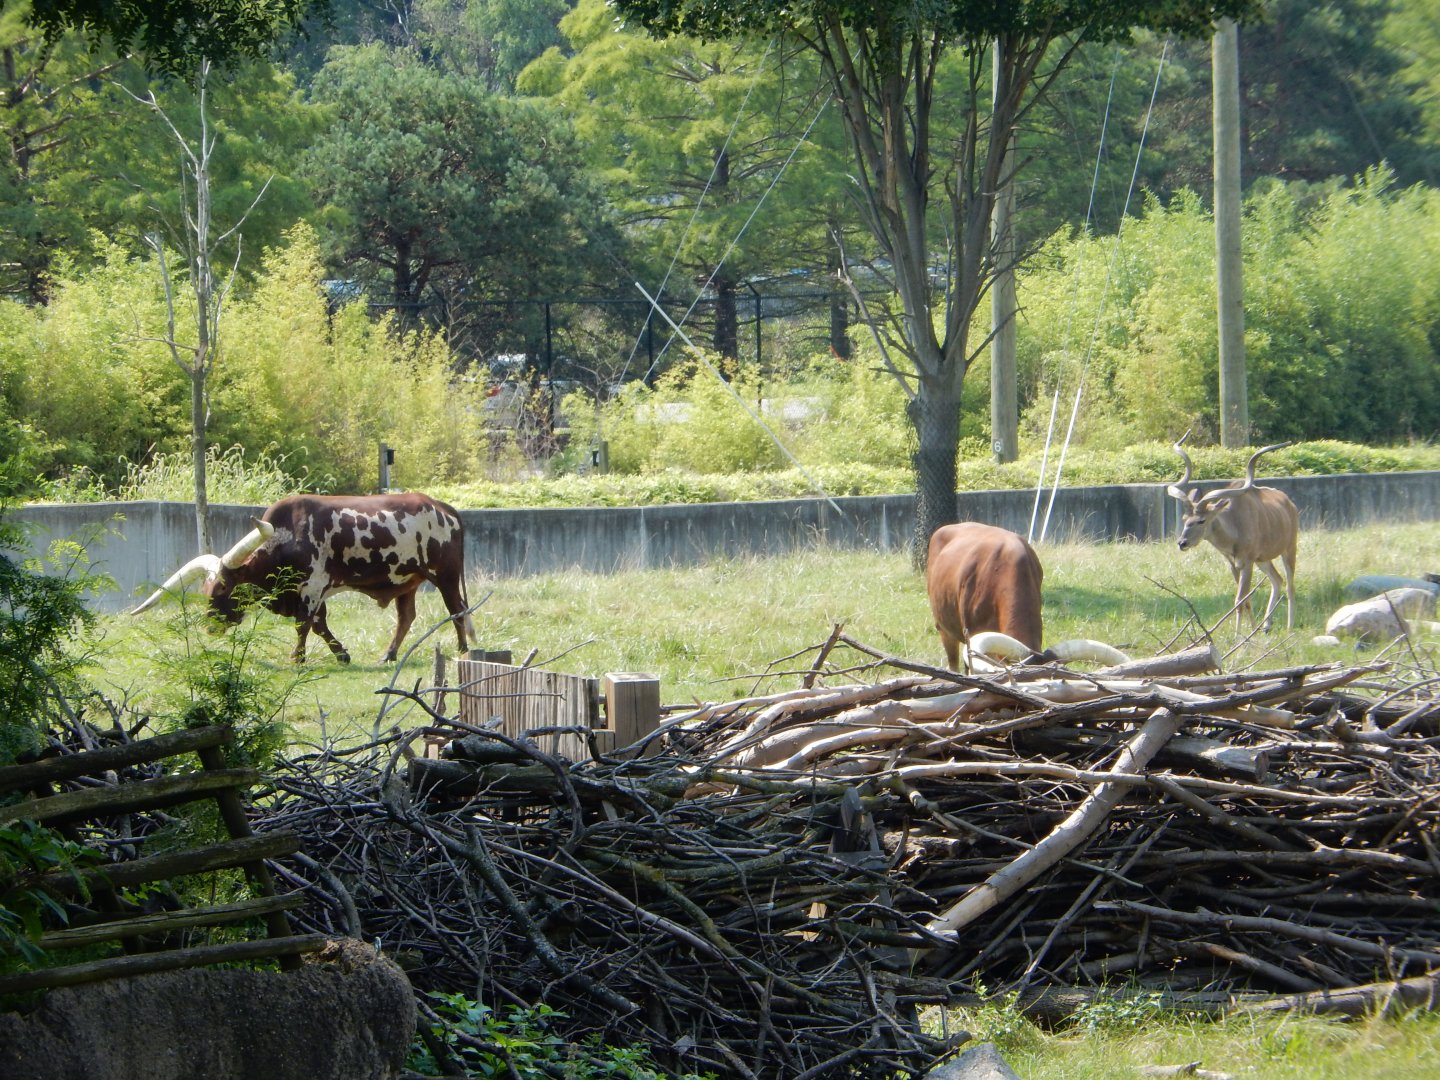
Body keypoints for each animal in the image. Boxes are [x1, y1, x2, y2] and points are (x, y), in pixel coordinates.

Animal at [130, 493, 472, 664]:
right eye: (205, 589)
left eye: (224, 589)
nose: (211, 625)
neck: (287, 538)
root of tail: (443, 507)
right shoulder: (310, 594)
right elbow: (319, 625)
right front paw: (341, 653)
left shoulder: (313, 587)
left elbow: (304, 625)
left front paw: (297, 657)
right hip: (406, 580)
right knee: (406, 616)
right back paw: (388, 655)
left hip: (446, 575)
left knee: (457, 611)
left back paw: (463, 650)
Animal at [1167, 433, 1299, 632]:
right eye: (1184, 518)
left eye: (1201, 520)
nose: (1182, 543)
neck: (1235, 527)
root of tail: (1290, 504)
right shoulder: (1233, 564)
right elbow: (1246, 599)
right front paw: (1252, 629)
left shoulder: (1247, 562)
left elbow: (1240, 600)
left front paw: (1239, 636)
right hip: (1263, 560)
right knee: (1277, 579)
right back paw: (1266, 625)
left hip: (1289, 549)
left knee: (1290, 586)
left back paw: (1290, 627)